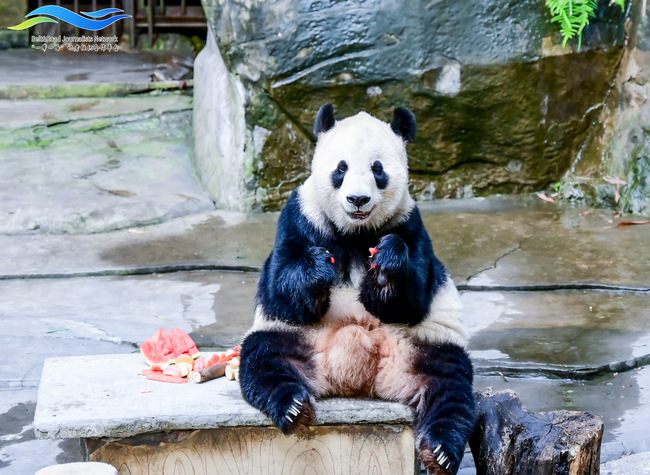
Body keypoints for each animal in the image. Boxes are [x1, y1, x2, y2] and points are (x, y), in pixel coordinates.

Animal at [239, 104, 476, 475]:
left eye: (378, 169)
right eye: (341, 167)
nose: (357, 199)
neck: (355, 231)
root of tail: (361, 381)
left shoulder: (409, 222)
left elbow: (413, 298)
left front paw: (384, 270)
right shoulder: (300, 216)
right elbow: (280, 289)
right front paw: (319, 268)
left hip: (428, 345)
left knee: (451, 389)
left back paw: (439, 451)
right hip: (292, 337)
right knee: (263, 360)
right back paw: (294, 408)